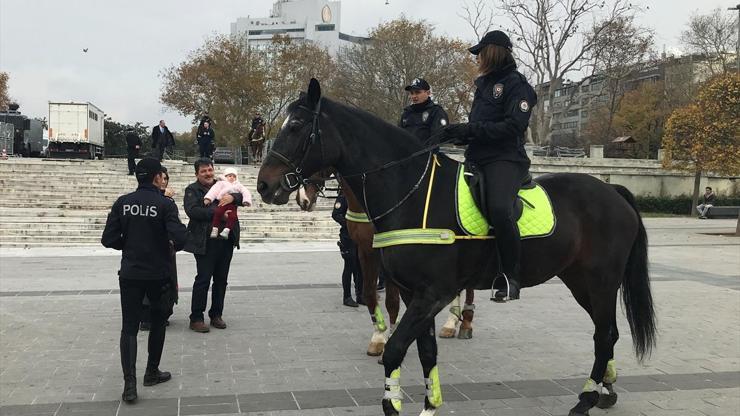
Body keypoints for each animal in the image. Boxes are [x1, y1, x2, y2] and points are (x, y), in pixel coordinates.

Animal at [258, 79, 652, 414]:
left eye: (295, 127)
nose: (264, 185)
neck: (411, 192)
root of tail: (611, 190)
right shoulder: (414, 292)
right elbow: (425, 351)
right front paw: (429, 404)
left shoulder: (432, 293)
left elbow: (397, 351)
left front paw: (393, 400)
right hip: (579, 281)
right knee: (607, 333)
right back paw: (603, 389)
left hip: (600, 282)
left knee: (605, 334)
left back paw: (585, 398)